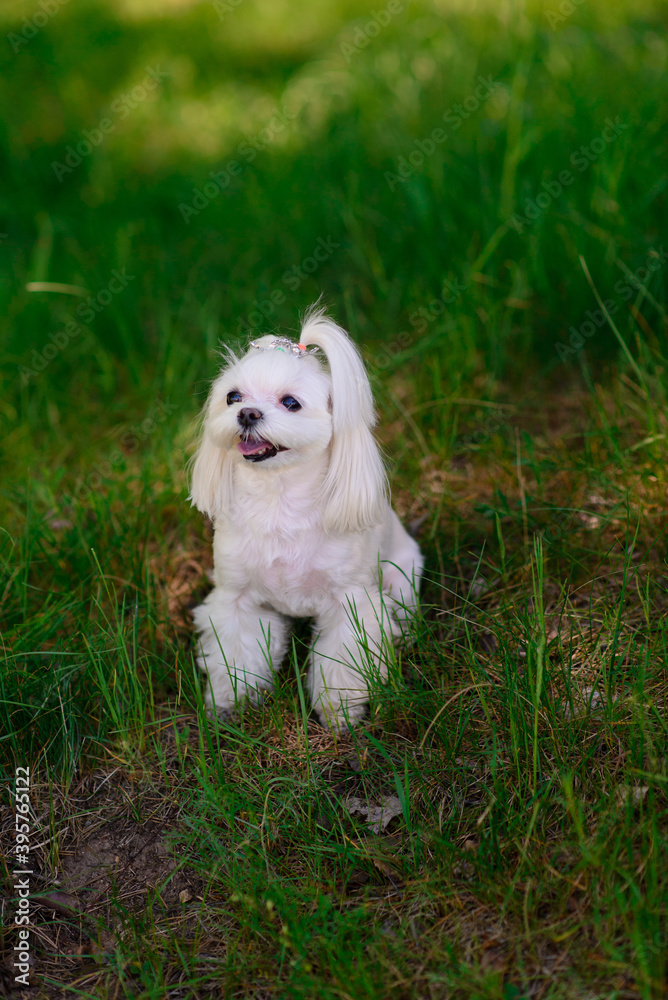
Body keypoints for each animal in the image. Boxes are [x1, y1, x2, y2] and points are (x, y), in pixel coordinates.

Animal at [189, 304, 422, 728]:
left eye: (291, 403)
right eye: (232, 397)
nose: (247, 412)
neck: (278, 500)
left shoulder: (351, 604)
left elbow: (343, 663)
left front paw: (340, 711)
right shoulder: (237, 600)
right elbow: (237, 655)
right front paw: (232, 702)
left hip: (402, 576)